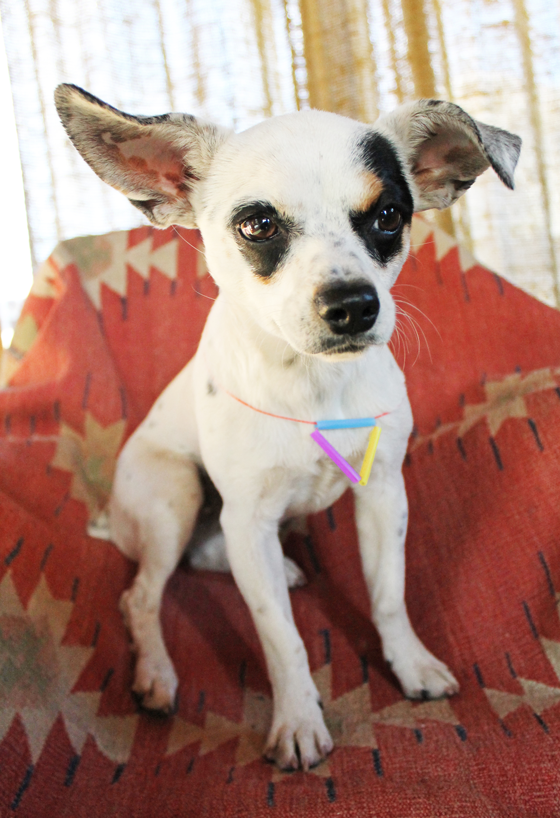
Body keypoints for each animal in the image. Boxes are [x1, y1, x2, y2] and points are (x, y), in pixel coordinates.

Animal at [54, 86, 520, 768]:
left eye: (388, 216)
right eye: (258, 225)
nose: (354, 305)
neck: (314, 387)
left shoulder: (384, 496)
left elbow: (389, 596)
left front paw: (410, 666)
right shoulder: (249, 519)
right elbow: (281, 636)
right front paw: (298, 719)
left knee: (207, 555)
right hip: (175, 495)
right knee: (142, 596)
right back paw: (157, 675)